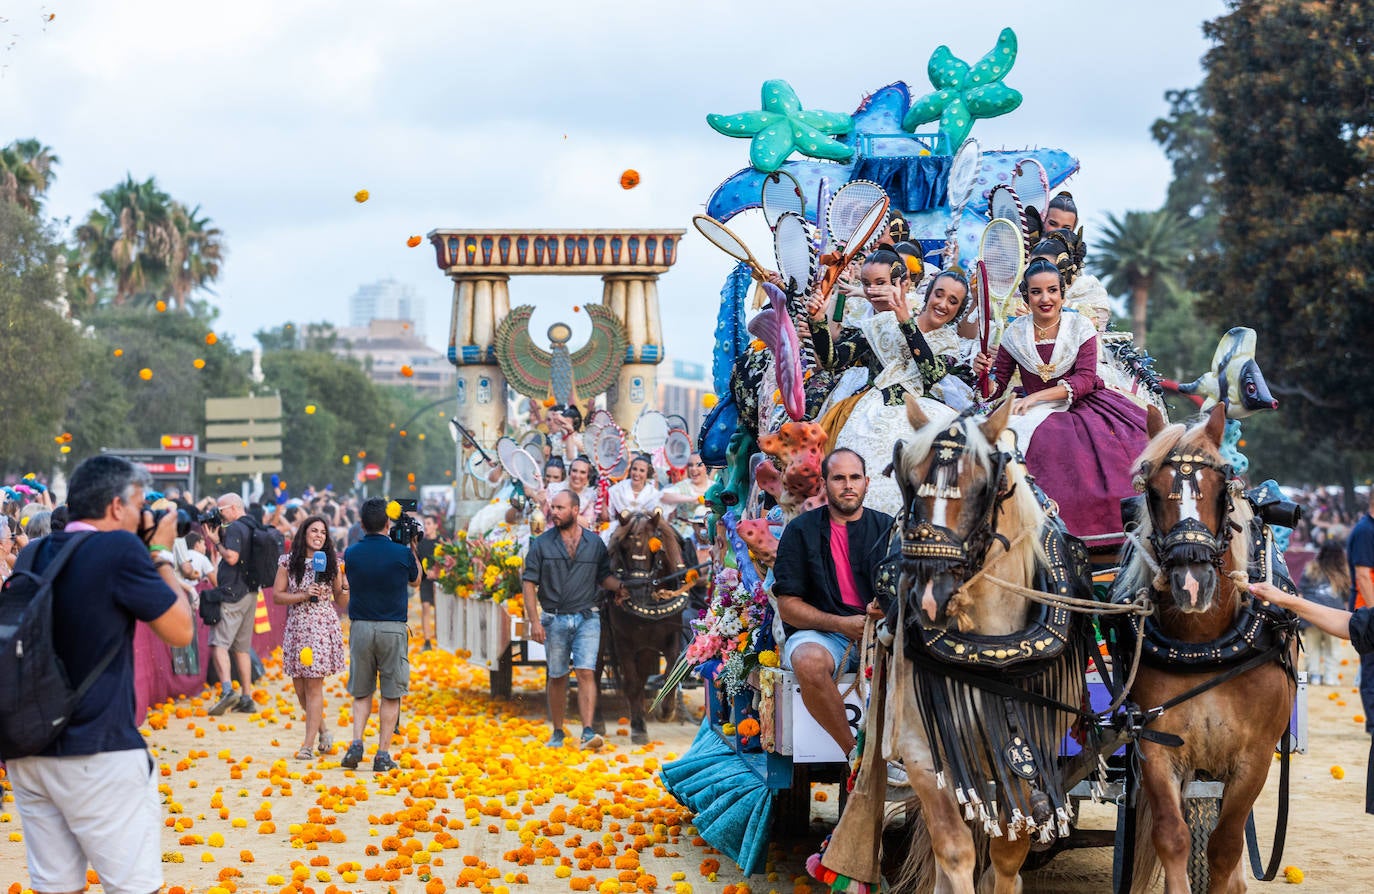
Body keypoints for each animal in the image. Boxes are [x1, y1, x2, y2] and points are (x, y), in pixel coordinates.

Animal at [604, 510, 687, 747]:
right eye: (623, 547)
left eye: (655, 548)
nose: (636, 589)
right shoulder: (624, 642)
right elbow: (632, 684)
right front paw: (638, 728)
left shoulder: (672, 636)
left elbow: (671, 672)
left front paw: (665, 711)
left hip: (647, 648)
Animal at [1121, 403, 1291, 889]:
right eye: (1153, 493)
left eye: (1221, 490)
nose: (1191, 582)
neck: (1205, 649)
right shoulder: (1157, 746)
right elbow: (1173, 837)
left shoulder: (1254, 758)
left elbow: (1225, 847)